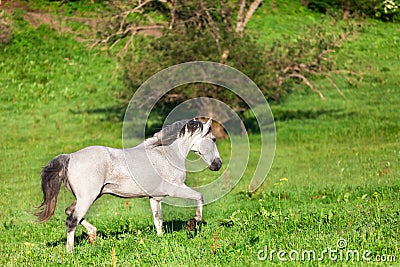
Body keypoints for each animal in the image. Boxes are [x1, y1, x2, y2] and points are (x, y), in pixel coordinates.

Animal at [34, 119, 222, 253]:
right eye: (213, 139)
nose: (218, 164)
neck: (167, 154)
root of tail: (70, 156)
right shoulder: (175, 189)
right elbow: (199, 197)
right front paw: (193, 223)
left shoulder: (155, 197)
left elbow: (158, 220)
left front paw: (161, 239)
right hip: (87, 198)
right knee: (72, 220)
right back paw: (71, 251)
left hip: (89, 197)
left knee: (69, 212)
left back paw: (92, 235)